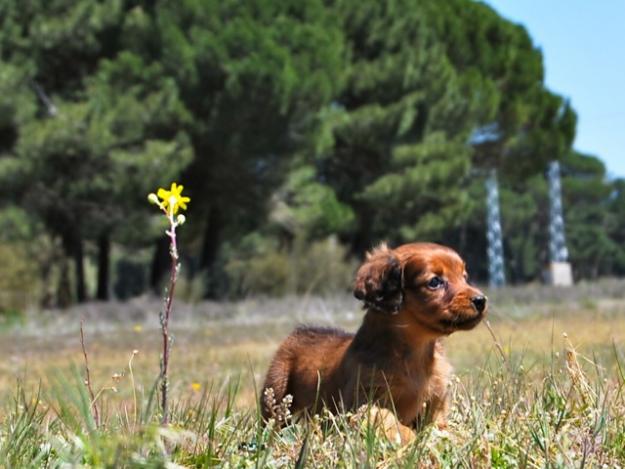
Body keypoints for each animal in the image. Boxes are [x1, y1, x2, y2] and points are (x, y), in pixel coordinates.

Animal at [260, 243, 486, 430]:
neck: (415, 353)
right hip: (276, 391)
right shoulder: (363, 404)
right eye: (435, 282)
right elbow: (392, 422)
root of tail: (299, 331)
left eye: (464, 276)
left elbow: (439, 429)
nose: (481, 300)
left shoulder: (436, 403)